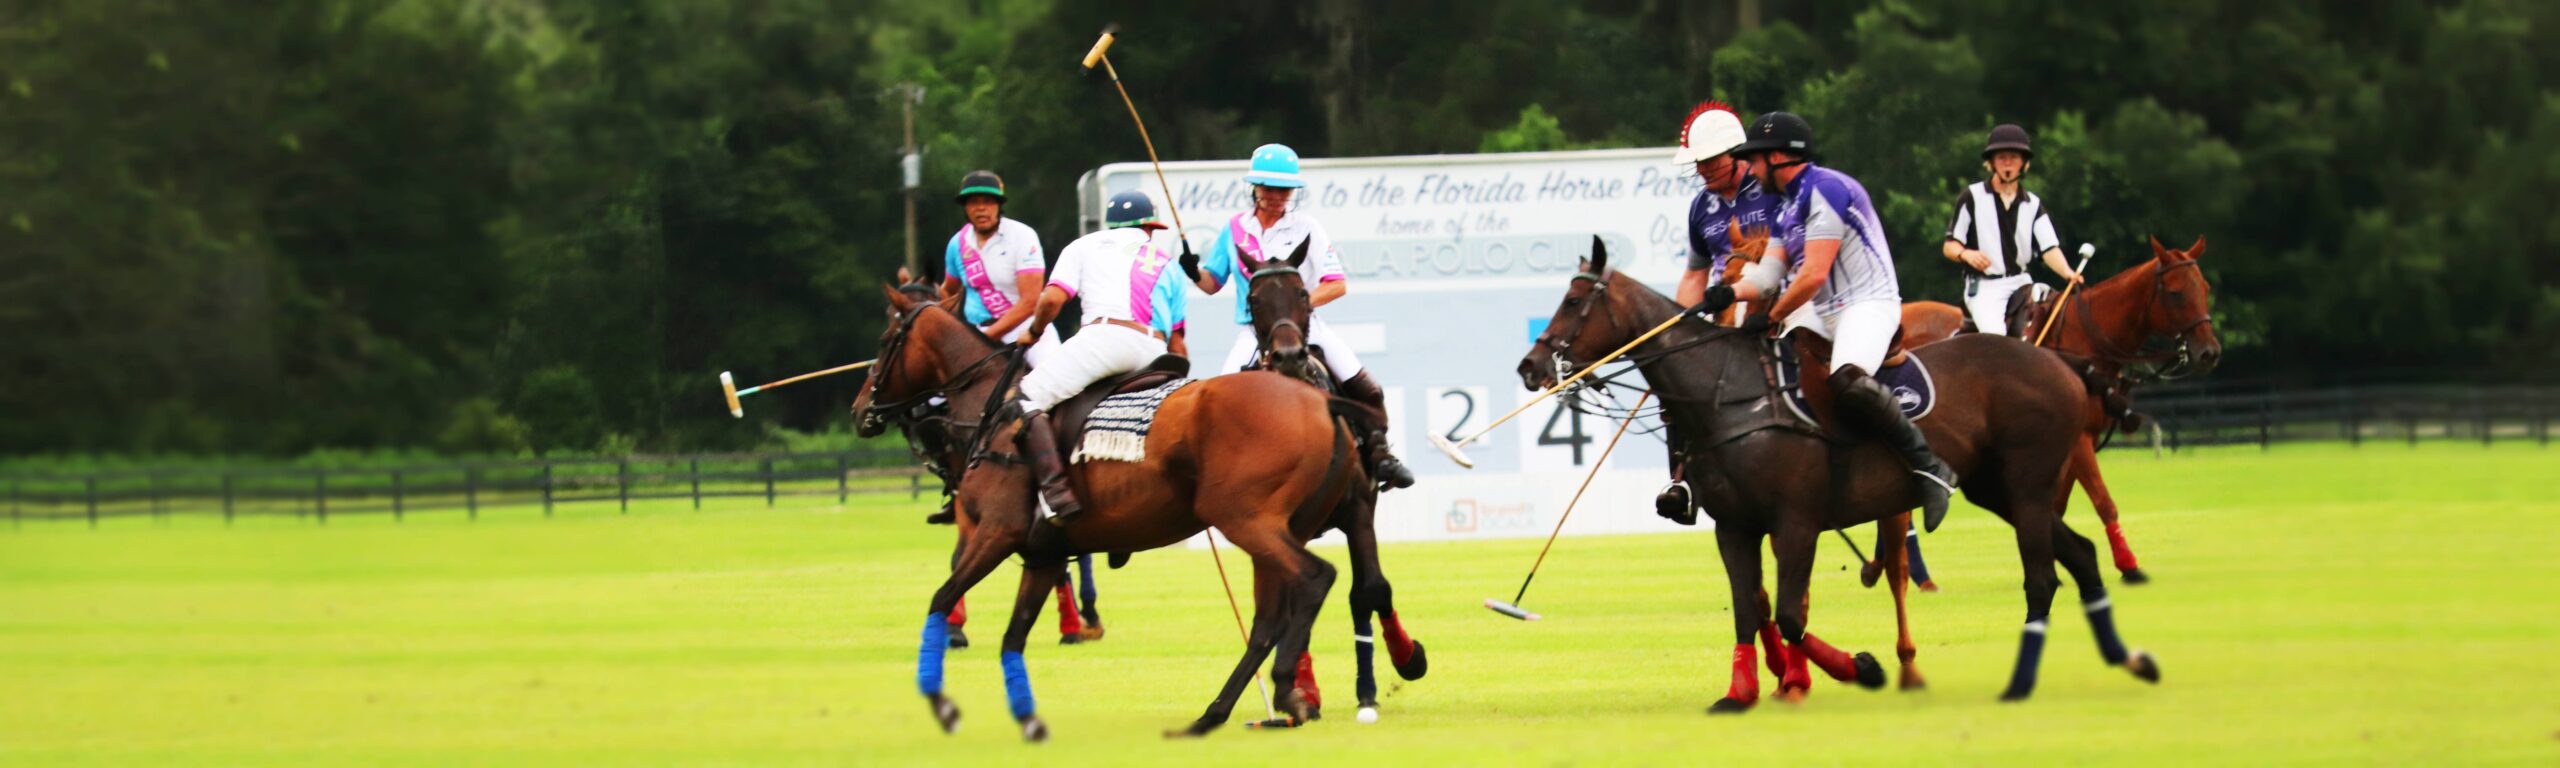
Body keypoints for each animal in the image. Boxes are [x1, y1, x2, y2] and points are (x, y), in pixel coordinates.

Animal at [870, 285, 1413, 742]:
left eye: (886, 339)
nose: (863, 410)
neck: (993, 411)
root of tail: (1323, 404)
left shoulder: (996, 533)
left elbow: (940, 599)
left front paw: (941, 705)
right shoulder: (1043, 555)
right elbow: (1011, 637)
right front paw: (1028, 720)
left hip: (1246, 519)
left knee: (1316, 578)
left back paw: (1283, 688)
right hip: (1286, 526)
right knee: (1271, 617)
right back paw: (1217, 713)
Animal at [1515, 236, 2160, 711]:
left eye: (1573, 302)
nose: (1529, 364)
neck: (1734, 393)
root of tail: (2062, 361)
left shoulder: (1796, 521)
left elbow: (1792, 612)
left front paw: (1860, 669)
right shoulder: (1735, 528)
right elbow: (1750, 608)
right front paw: (1741, 692)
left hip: (2027, 484)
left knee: (2042, 577)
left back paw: (2019, 681)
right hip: (1998, 488)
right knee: (2079, 555)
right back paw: (2128, 659)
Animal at [1904, 236, 2222, 586]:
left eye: (2204, 288)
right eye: (2176, 292)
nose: (2209, 352)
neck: (2085, 342)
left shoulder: (2077, 439)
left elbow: (2059, 503)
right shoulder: (2079, 438)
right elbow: (2103, 501)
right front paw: (2128, 566)